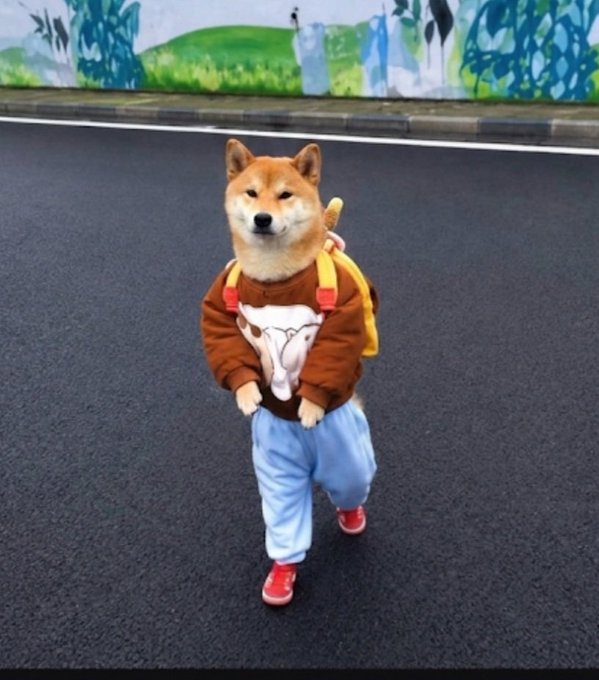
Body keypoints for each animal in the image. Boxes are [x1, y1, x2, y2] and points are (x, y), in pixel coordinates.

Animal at [201, 138, 379, 606]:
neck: (273, 277)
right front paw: (247, 392)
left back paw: (351, 515)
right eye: (251, 194)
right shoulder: (219, 297)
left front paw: (311, 405)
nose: (262, 218)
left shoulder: (341, 315)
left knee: (351, 484)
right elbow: (223, 336)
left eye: (284, 195)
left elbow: (331, 353)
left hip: (348, 456)